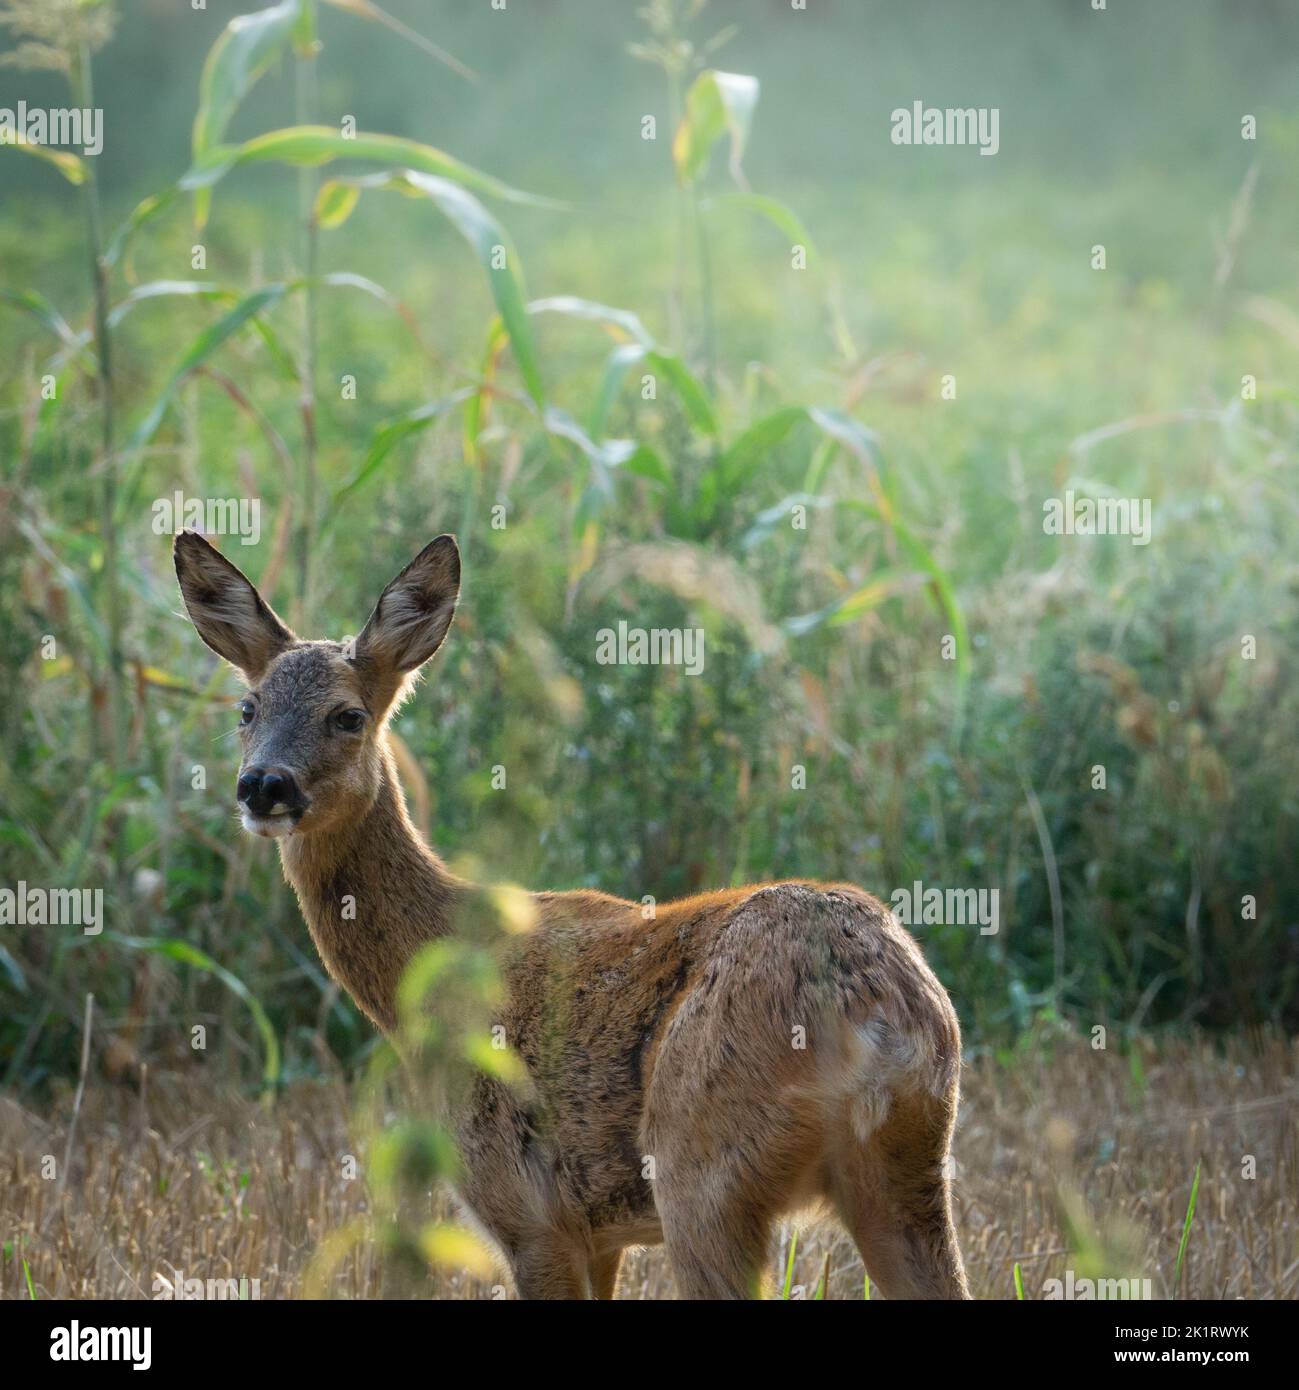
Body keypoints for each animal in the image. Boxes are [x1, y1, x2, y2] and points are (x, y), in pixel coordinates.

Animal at [172, 525, 972, 1295]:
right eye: (247, 709)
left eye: (347, 716)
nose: (264, 785)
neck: (422, 982)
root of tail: (880, 1012)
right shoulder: (601, 1233)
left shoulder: (528, 1212)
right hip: (908, 1170)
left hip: (703, 1167)